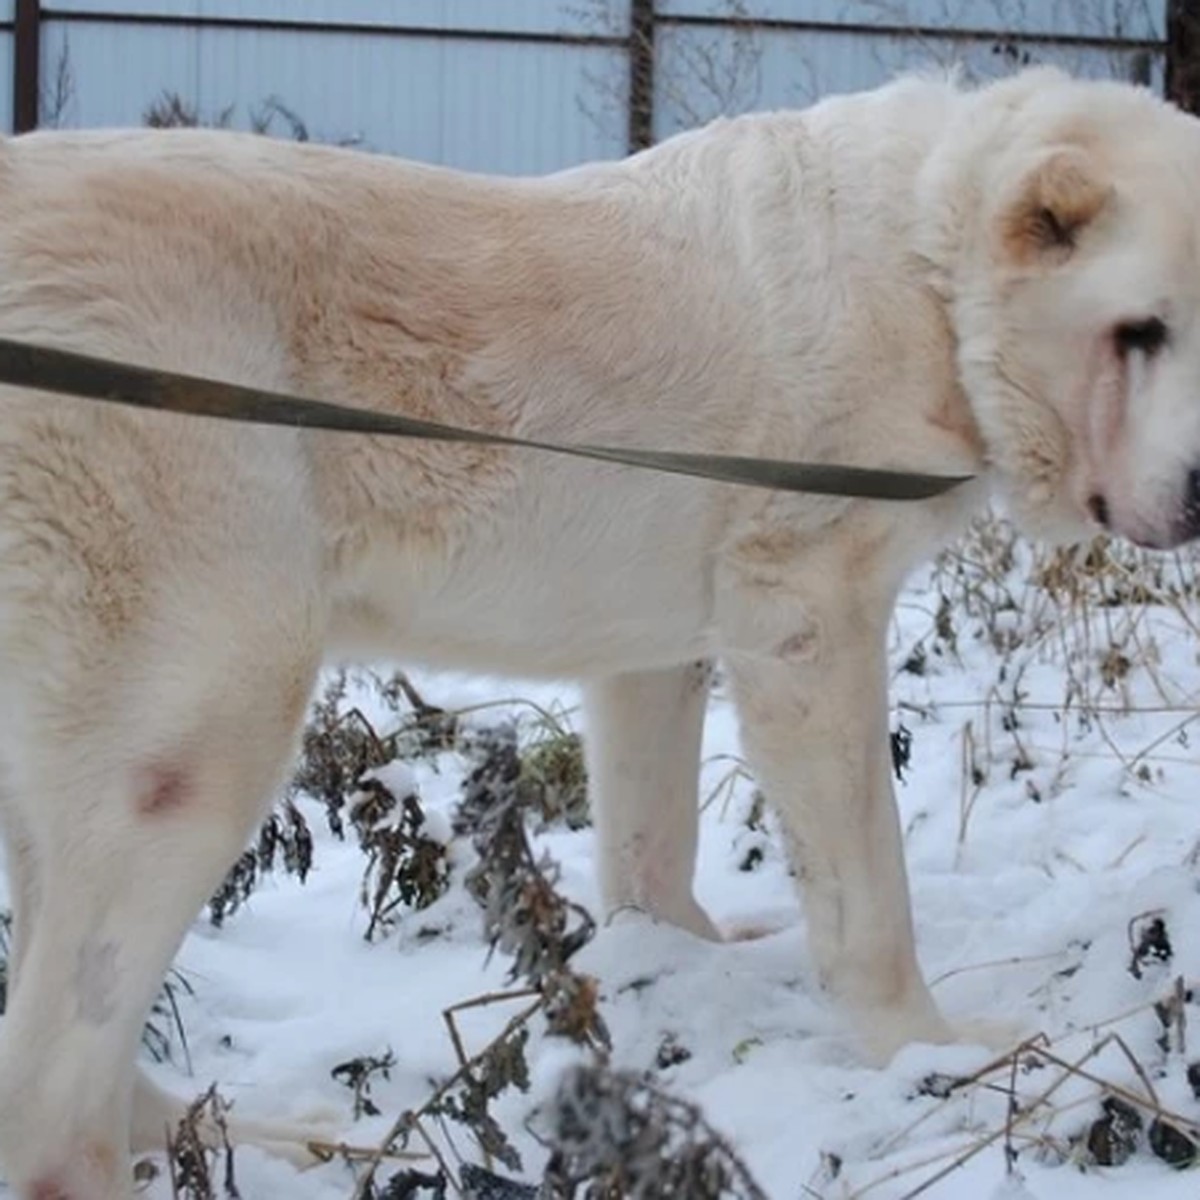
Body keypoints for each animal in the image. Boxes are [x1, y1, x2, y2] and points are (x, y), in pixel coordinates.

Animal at [2, 68, 1200, 1200]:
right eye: (1140, 333)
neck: (927, 269)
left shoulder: (652, 655)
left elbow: (651, 844)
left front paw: (677, 958)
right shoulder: (809, 620)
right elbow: (870, 893)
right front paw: (926, 1050)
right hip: (194, 735)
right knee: (52, 1099)